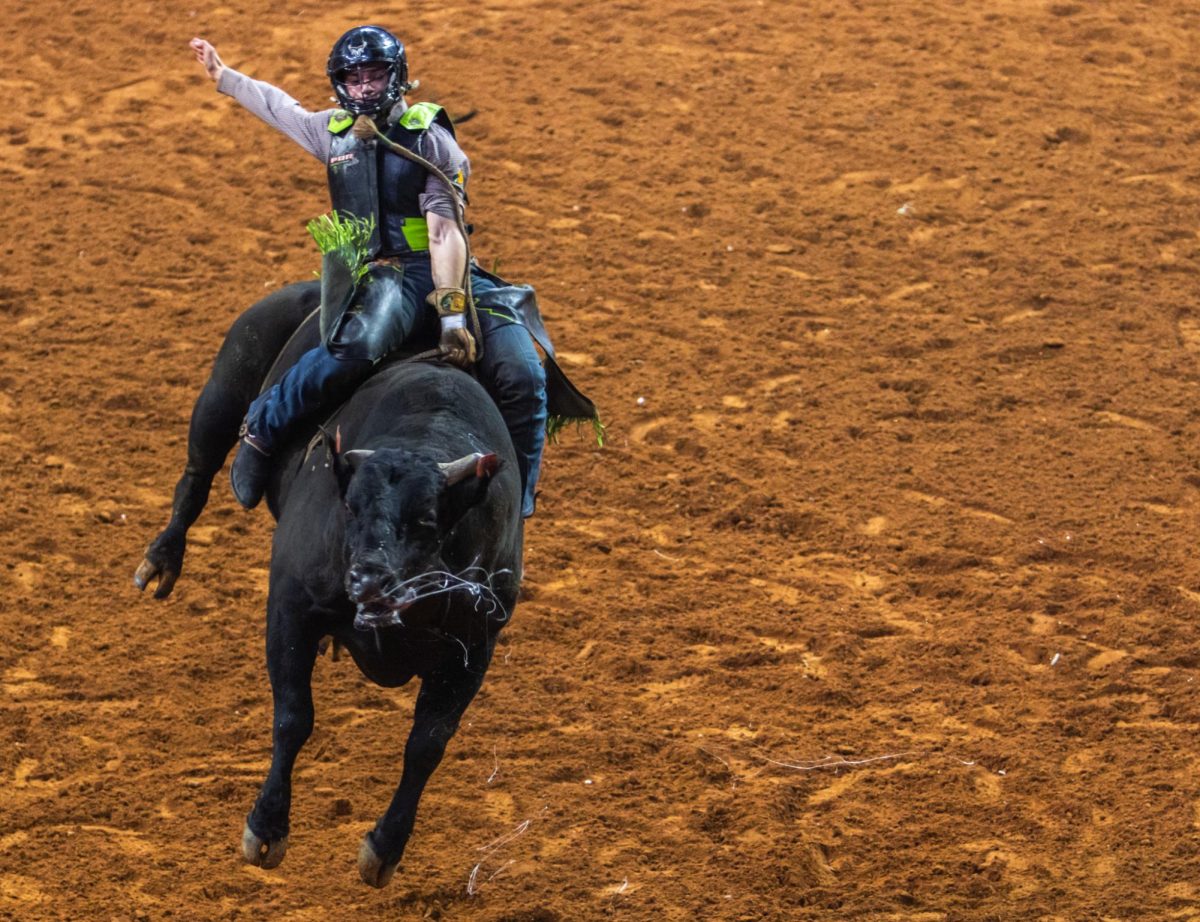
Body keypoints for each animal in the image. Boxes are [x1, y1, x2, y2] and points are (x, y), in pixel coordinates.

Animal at [133, 280, 523, 883]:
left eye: (427, 520)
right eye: (350, 506)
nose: (367, 580)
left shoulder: (474, 647)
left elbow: (427, 744)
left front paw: (384, 849)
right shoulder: (290, 607)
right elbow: (294, 717)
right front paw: (266, 830)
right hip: (225, 386)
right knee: (197, 473)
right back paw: (162, 558)